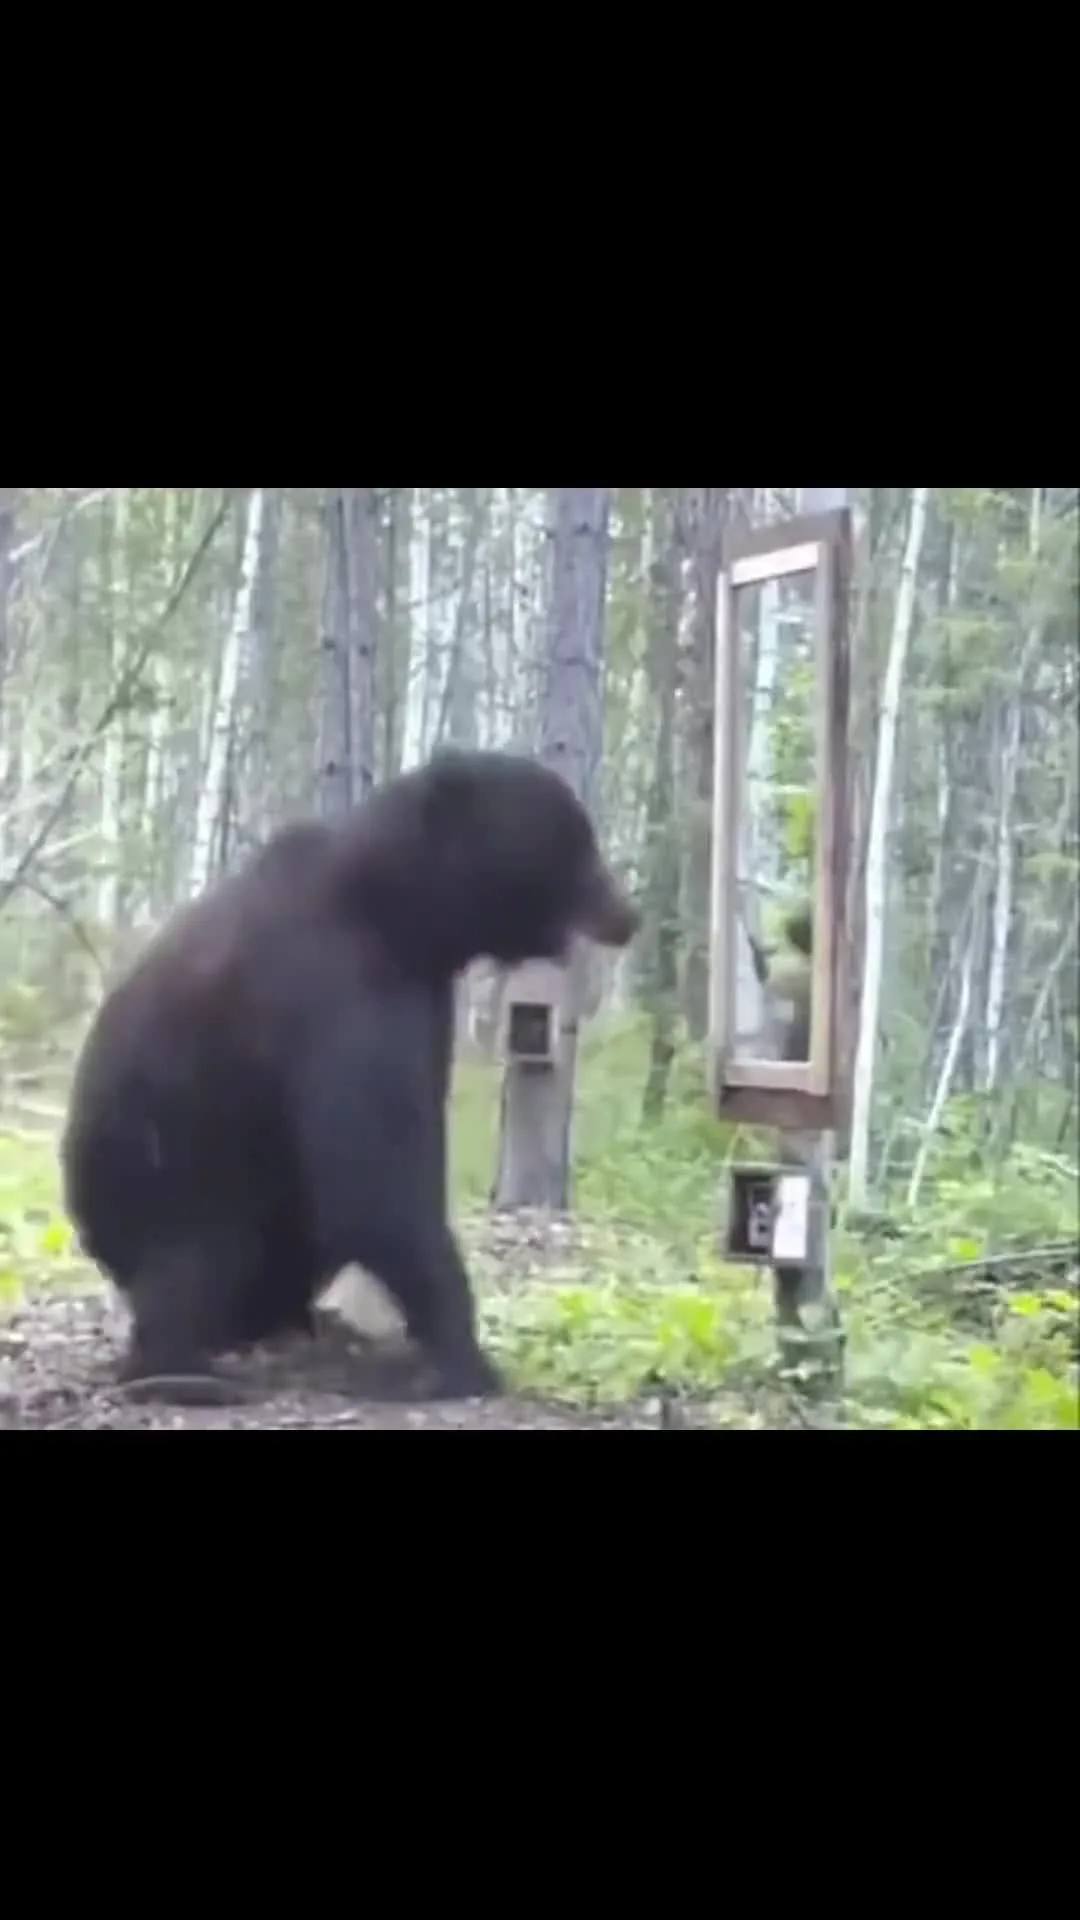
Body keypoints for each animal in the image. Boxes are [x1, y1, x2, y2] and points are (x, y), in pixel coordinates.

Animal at [61, 748, 639, 1403]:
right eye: (577, 843)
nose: (628, 914)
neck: (404, 916)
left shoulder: (423, 999)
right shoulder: (340, 991)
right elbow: (374, 1180)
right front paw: (467, 1358)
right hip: (159, 1178)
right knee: (204, 1251)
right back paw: (186, 1371)